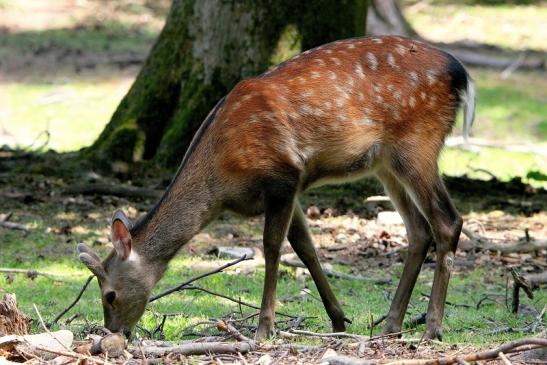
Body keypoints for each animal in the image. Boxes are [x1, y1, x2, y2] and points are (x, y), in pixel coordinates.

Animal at [77, 35, 476, 340]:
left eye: (109, 295)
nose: (114, 332)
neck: (222, 183)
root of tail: (462, 74)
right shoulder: (291, 188)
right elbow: (306, 248)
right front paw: (338, 319)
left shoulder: (282, 174)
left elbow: (272, 248)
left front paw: (264, 328)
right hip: (386, 163)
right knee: (419, 230)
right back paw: (391, 326)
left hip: (417, 143)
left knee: (447, 221)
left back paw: (432, 329)